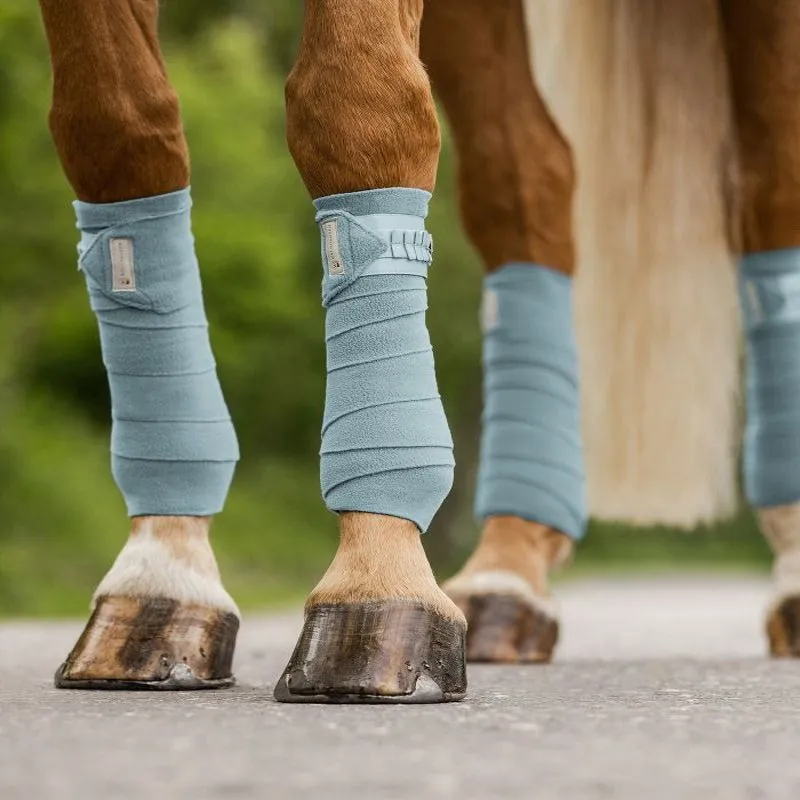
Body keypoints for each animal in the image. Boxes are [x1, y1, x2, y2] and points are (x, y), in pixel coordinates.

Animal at [40, 0, 800, 700]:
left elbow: (354, 103)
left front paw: (376, 587)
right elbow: (114, 127)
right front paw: (162, 581)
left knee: (771, 191)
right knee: (529, 177)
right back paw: (506, 576)